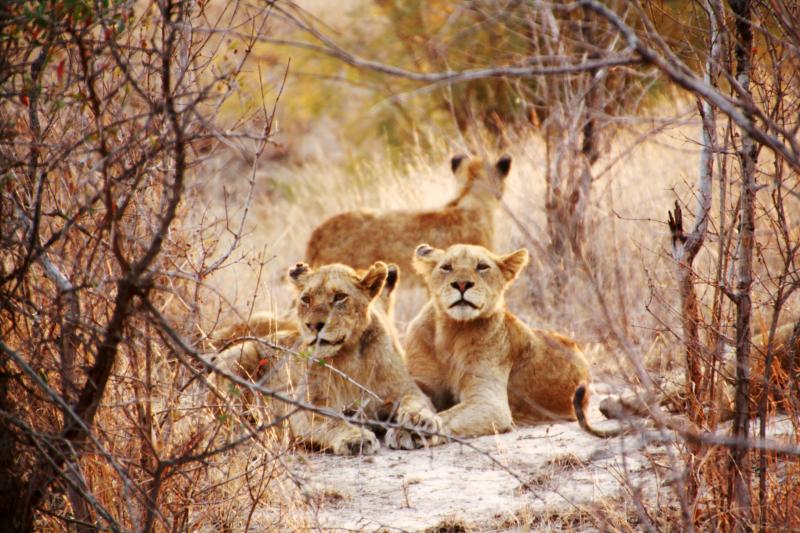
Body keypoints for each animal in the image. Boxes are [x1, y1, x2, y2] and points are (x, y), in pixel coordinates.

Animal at [208, 261, 441, 455]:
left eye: (339, 297)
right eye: (306, 299)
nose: (313, 325)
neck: (348, 357)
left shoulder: (405, 389)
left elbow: (415, 403)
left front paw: (416, 426)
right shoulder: (303, 407)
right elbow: (331, 420)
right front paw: (355, 438)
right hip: (239, 356)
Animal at [404, 243, 614, 440]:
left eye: (482, 267)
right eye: (446, 267)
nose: (462, 284)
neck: (452, 330)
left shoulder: (489, 403)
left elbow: (449, 415)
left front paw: (422, 425)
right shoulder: (420, 381)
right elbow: (408, 397)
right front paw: (410, 419)